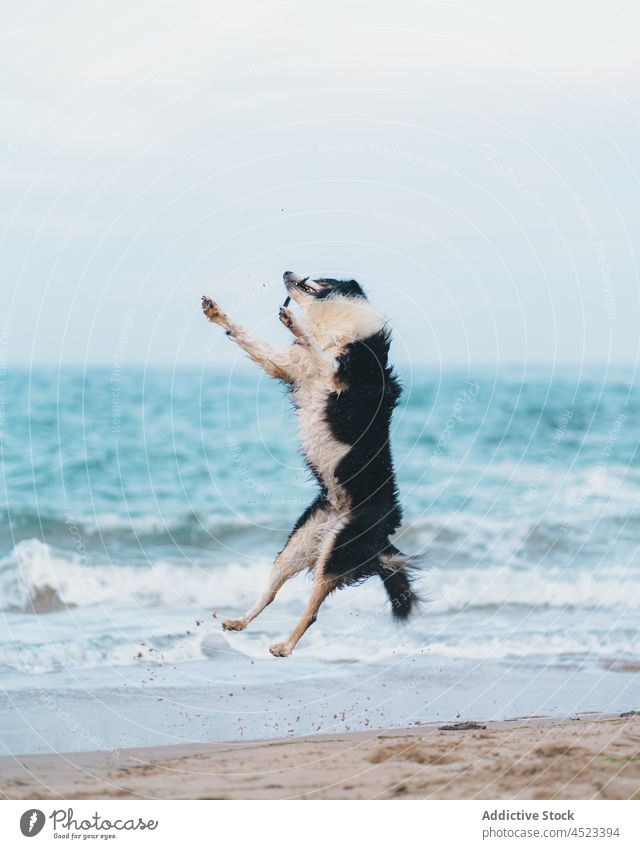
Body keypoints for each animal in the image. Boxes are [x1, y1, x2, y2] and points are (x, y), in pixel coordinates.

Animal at [202, 272, 418, 656]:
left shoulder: (336, 376)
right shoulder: (287, 366)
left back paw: (284, 646)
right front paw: (216, 313)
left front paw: (293, 322)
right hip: (299, 544)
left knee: (312, 610)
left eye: (321, 278)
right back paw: (240, 622)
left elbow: (314, 348)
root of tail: (386, 531)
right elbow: (248, 337)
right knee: (271, 593)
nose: (286, 272)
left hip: (338, 552)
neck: (336, 323)